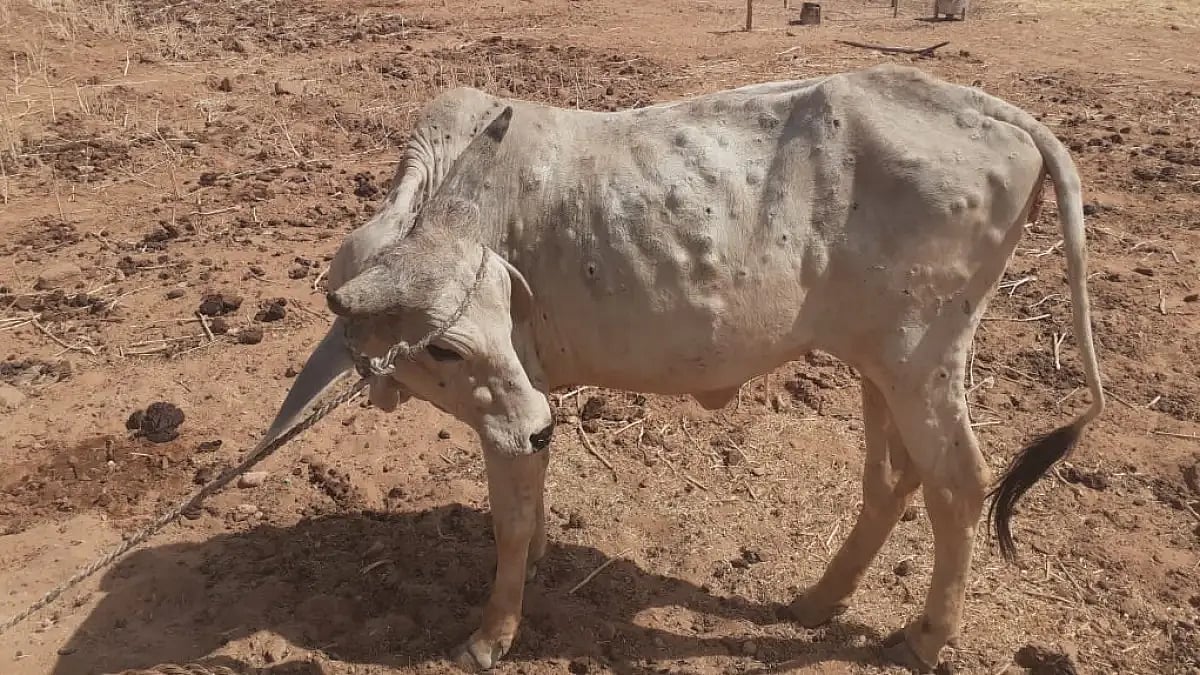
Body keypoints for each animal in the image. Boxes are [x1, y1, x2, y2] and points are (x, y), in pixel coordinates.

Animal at [262, 64, 1105, 672]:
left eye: (481, 325)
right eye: (441, 344)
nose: (538, 425)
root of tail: (996, 111)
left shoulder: (508, 413)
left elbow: (508, 521)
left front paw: (491, 634)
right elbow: (530, 502)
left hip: (921, 357)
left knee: (957, 484)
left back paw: (926, 635)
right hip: (881, 366)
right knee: (892, 480)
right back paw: (817, 601)